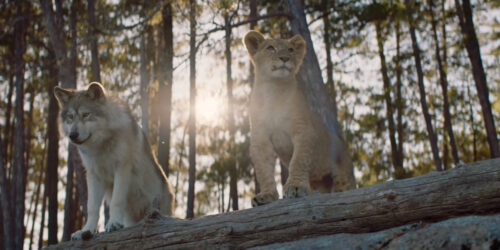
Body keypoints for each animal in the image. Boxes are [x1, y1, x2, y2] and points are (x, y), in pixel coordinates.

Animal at [54, 82, 175, 240]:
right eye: (70, 117)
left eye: (86, 115)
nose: (72, 135)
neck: (101, 145)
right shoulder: (94, 175)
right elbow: (92, 207)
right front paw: (87, 230)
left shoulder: (122, 168)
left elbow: (116, 201)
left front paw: (113, 224)